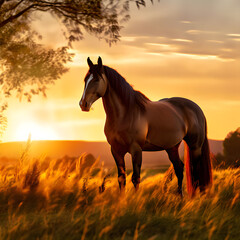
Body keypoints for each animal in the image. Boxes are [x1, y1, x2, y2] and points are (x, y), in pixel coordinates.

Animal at [79, 57, 212, 196]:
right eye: (85, 80)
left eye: (96, 79)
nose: (83, 104)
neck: (126, 113)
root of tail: (197, 109)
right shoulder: (116, 150)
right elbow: (121, 179)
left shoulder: (136, 149)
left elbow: (135, 178)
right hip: (172, 148)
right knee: (179, 169)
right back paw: (180, 197)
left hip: (195, 147)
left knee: (195, 174)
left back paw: (192, 198)